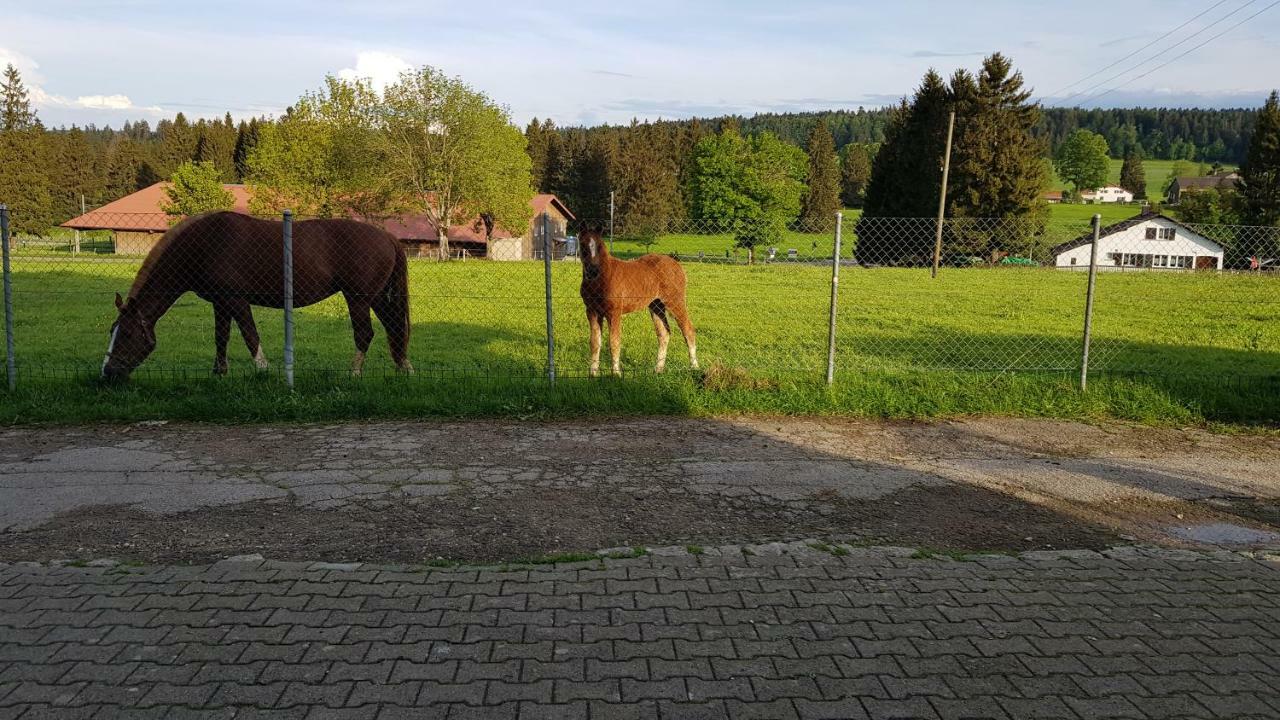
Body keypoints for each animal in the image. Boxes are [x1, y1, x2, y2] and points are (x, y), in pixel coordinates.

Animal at [106, 208, 414, 381]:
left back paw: (354, 373)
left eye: (128, 334)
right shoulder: (220, 303)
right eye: (112, 330)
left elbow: (249, 335)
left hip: (358, 298)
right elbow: (222, 337)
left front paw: (263, 369)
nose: (107, 373)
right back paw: (404, 368)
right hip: (376, 298)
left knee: (365, 334)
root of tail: (387, 237)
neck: (204, 245)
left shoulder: (236, 300)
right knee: (393, 328)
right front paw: (219, 373)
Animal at [581, 229, 701, 376]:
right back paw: (658, 370)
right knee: (664, 334)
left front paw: (616, 374)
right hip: (656, 306)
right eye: (582, 245)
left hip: (675, 301)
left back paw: (694, 367)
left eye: (599, 246)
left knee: (688, 330)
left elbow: (614, 342)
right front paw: (593, 374)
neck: (602, 278)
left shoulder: (614, 313)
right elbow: (594, 342)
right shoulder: (591, 311)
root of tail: (676, 264)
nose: (592, 271)